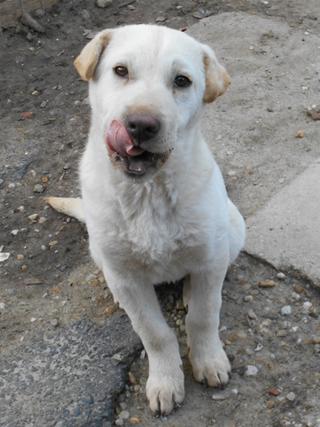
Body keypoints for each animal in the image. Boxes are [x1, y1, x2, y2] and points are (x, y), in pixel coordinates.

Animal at [47, 25, 246, 416]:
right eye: (120, 71)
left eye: (182, 81)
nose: (140, 125)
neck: (149, 192)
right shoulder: (125, 277)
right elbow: (154, 332)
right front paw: (166, 380)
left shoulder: (211, 255)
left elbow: (204, 315)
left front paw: (208, 358)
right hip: (99, 253)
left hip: (233, 228)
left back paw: (189, 289)